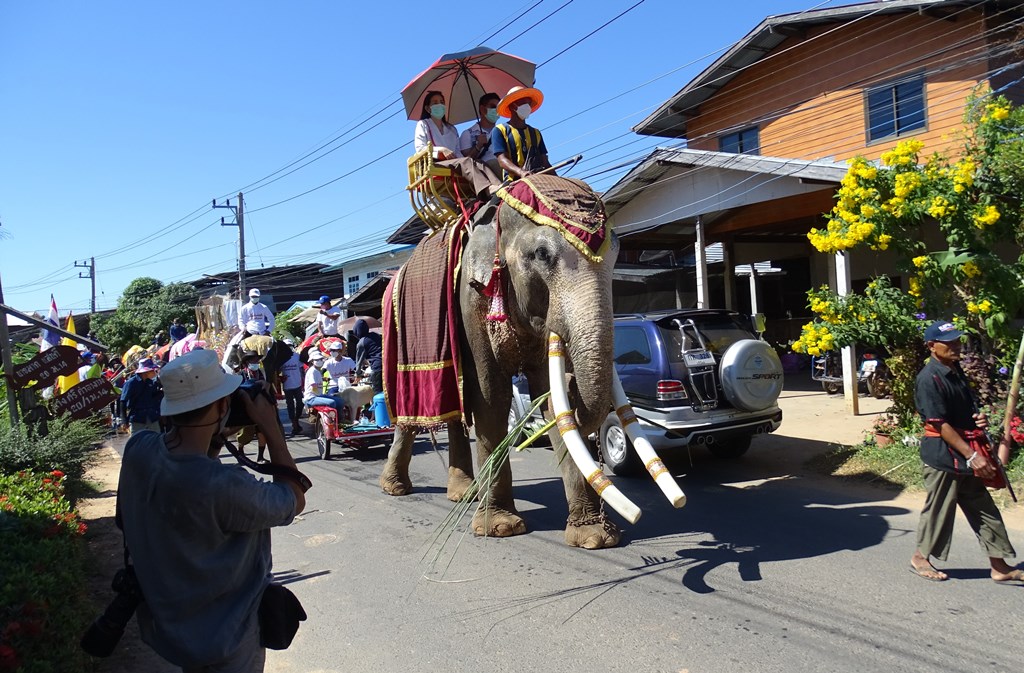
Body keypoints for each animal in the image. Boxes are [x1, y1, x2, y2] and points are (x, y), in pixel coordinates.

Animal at [380, 173, 675, 544]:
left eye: (618, 251)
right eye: (542, 254)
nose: (574, 382)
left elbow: (549, 400)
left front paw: (594, 537)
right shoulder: (469, 303)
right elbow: (491, 397)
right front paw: (500, 528)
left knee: (455, 410)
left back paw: (464, 494)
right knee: (412, 410)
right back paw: (396, 488)